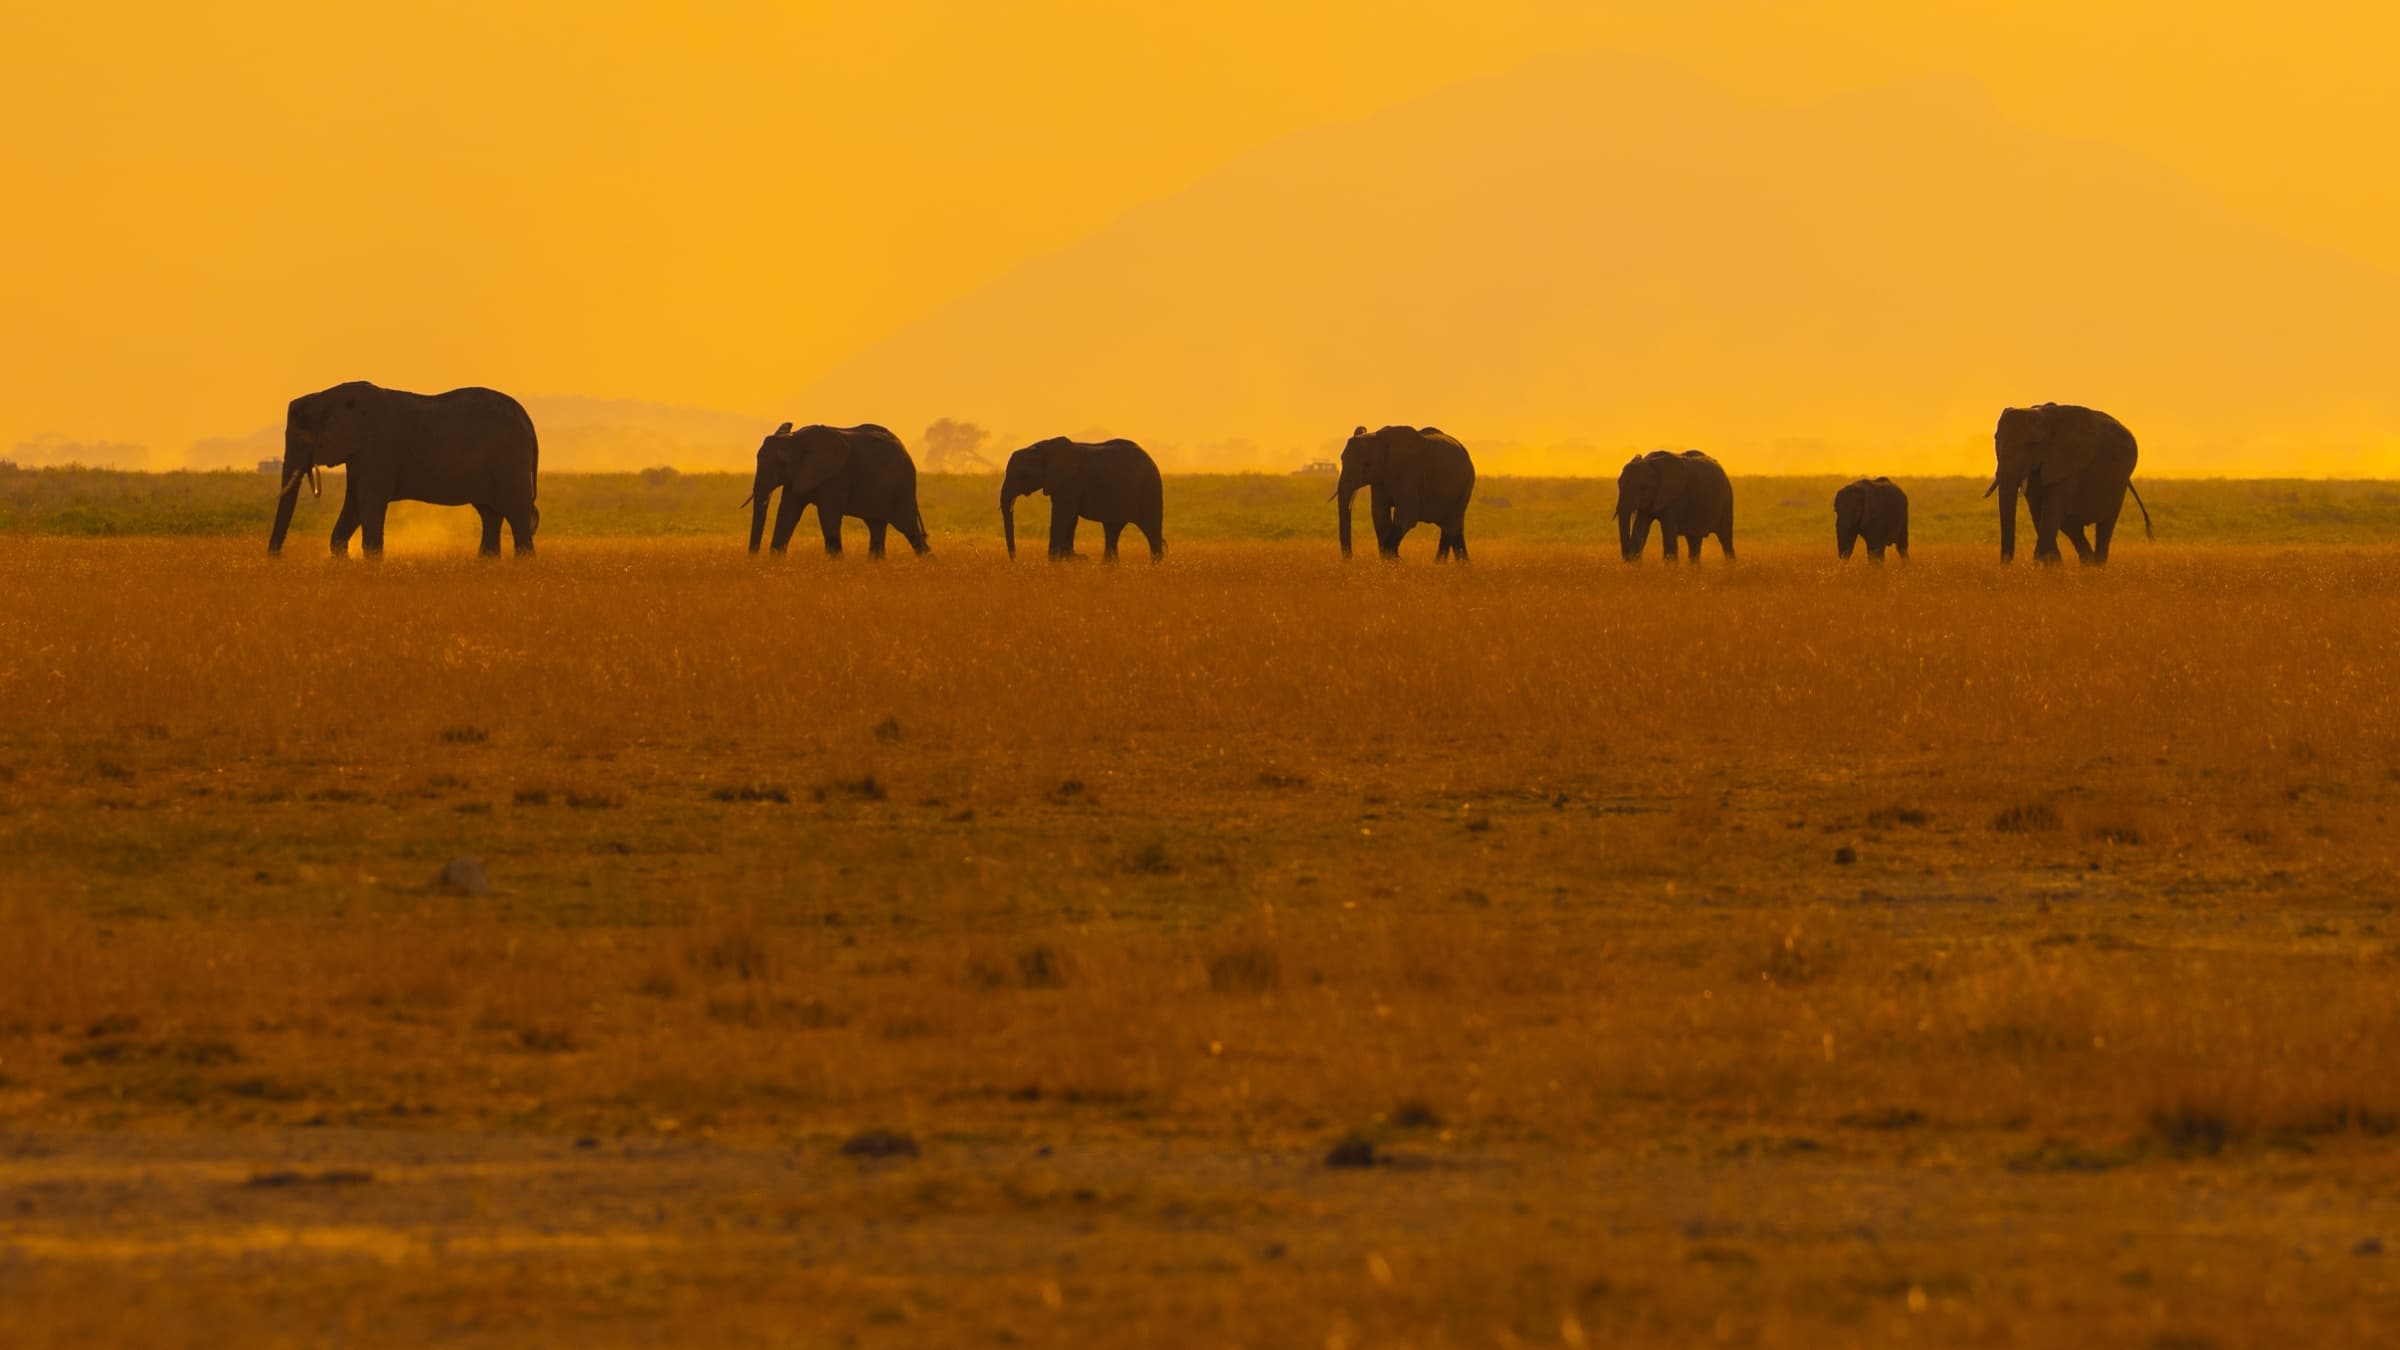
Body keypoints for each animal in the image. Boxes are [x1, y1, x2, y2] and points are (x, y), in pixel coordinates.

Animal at [269, 381, 538, 557]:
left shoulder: (379, 447)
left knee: (517, 513)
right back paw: (486, 564)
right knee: (490, 513)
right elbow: (354, 502)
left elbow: (368, 501)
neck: (327, 396)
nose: (275, 557)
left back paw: (522, 565)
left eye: (300, 436)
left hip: (511, 460)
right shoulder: (360, 453)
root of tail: (528, 420)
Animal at [744, 423, 929, 558]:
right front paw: (776, 561)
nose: (754, 557)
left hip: (902, 487)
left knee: (908, 527)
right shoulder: (799, 474)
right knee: (876, 526)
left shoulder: (835, 475)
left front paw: (836, 563)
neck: (795, 437)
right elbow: (788, 512)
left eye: (781, 463)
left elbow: (828, 514)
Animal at [1000, 437, 1165, 561]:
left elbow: (1062, 516)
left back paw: (1155, 568)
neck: (1040, 447)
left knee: (1151, 531)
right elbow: (1070, 517)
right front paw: (1073, 558)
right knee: (1112, 529)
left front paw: (1055, 561)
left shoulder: (1070, 481)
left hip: (1150, 491)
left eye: (1022, 475)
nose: (1016, 561)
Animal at [1333, 425, 1475, 561]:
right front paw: (1393, 561)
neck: (1378, 438)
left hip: (1465, 486)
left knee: (1450, 525)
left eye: (1367, 465)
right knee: (1456, 529)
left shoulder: (1410, 473)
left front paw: (1397, 560)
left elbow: (1406, 517)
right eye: (1341, 459)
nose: (1351, 558)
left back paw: (1438, 564)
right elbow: (1379, 513)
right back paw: (1463, 565)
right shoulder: (1380, 480)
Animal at [1985, 403, 2152, 564]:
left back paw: (2097, 565)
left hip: (2120, 481)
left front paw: (2046, 563)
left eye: (2033, 444)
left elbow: (2052, 508)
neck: (2043, 418)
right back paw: (2088, 562)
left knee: (2104, 524)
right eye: (1996, 439)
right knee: (2072, 525)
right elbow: (2038, 508)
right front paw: (2051, 564)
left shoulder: (2069, 465)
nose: (2006, 565)